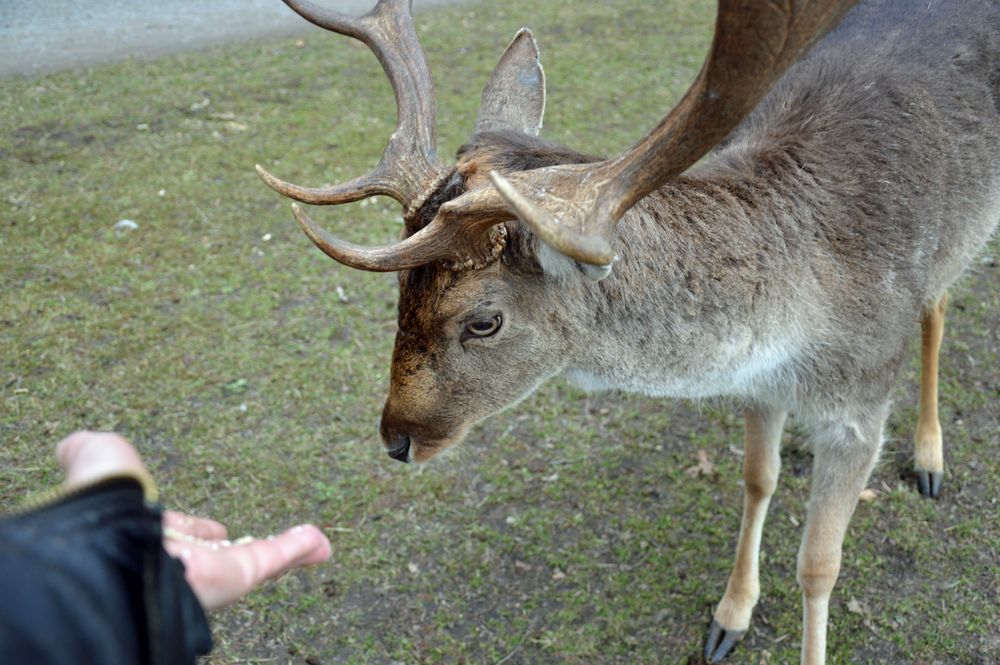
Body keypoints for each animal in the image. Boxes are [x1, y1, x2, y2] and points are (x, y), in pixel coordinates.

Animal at [258, 1, 1000, 660]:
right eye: (400, 294)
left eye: (484, 319)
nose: (396, 437)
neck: (794, 325)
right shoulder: (761, 385)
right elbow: (757, 478)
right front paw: (729, 617)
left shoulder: (861, 402)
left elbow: (819, 565)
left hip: (956, 244)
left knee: (936, 305)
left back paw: (929, 457)